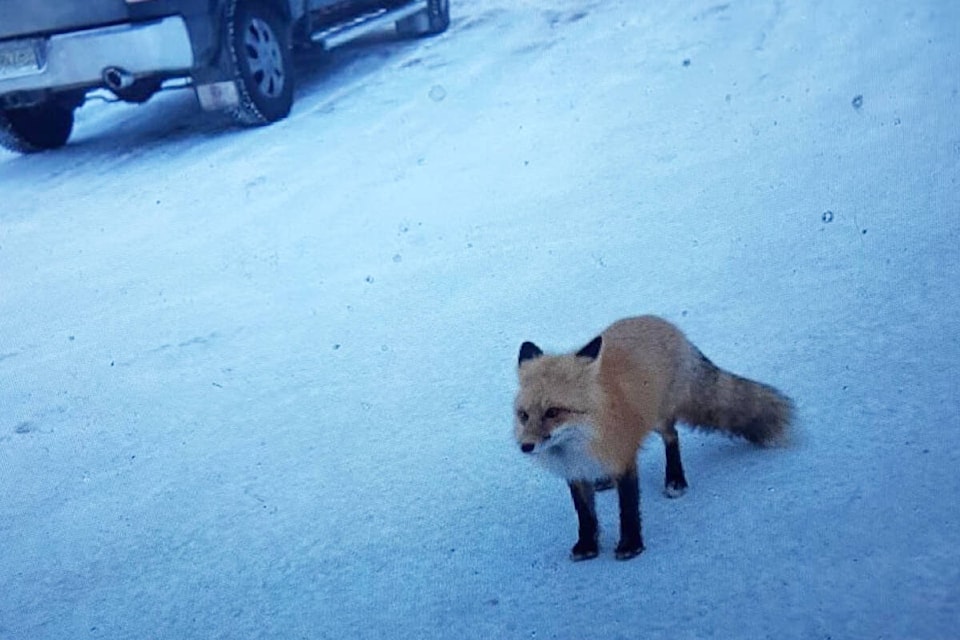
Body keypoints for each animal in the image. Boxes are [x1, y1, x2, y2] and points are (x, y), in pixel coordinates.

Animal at [512, 316, 792, 560]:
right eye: (524, 415)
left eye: (553, 412)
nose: (526, 447)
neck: (579, 443)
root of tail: (665, 324)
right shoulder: (575, 473)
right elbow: (585, 515)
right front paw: (587, 545)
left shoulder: (624, 459)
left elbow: (628, 509)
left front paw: (630, 545)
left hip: (659, 419)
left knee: (673, 437)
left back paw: (675, 480)